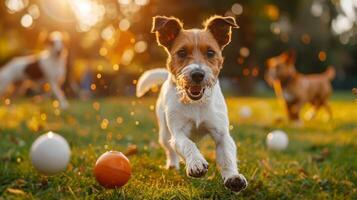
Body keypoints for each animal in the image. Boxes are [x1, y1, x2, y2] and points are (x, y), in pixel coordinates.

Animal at [136, 15, 248, 192]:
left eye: (210, 52)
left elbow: (227, 156)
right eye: (181, 52)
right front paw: (196, 162)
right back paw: (172, 165)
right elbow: (186, 144)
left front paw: (233, 177)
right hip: (164, 134)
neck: (196, 104)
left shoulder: (222, 134)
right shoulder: (177, 133)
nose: (197, 74)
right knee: (170, 150)